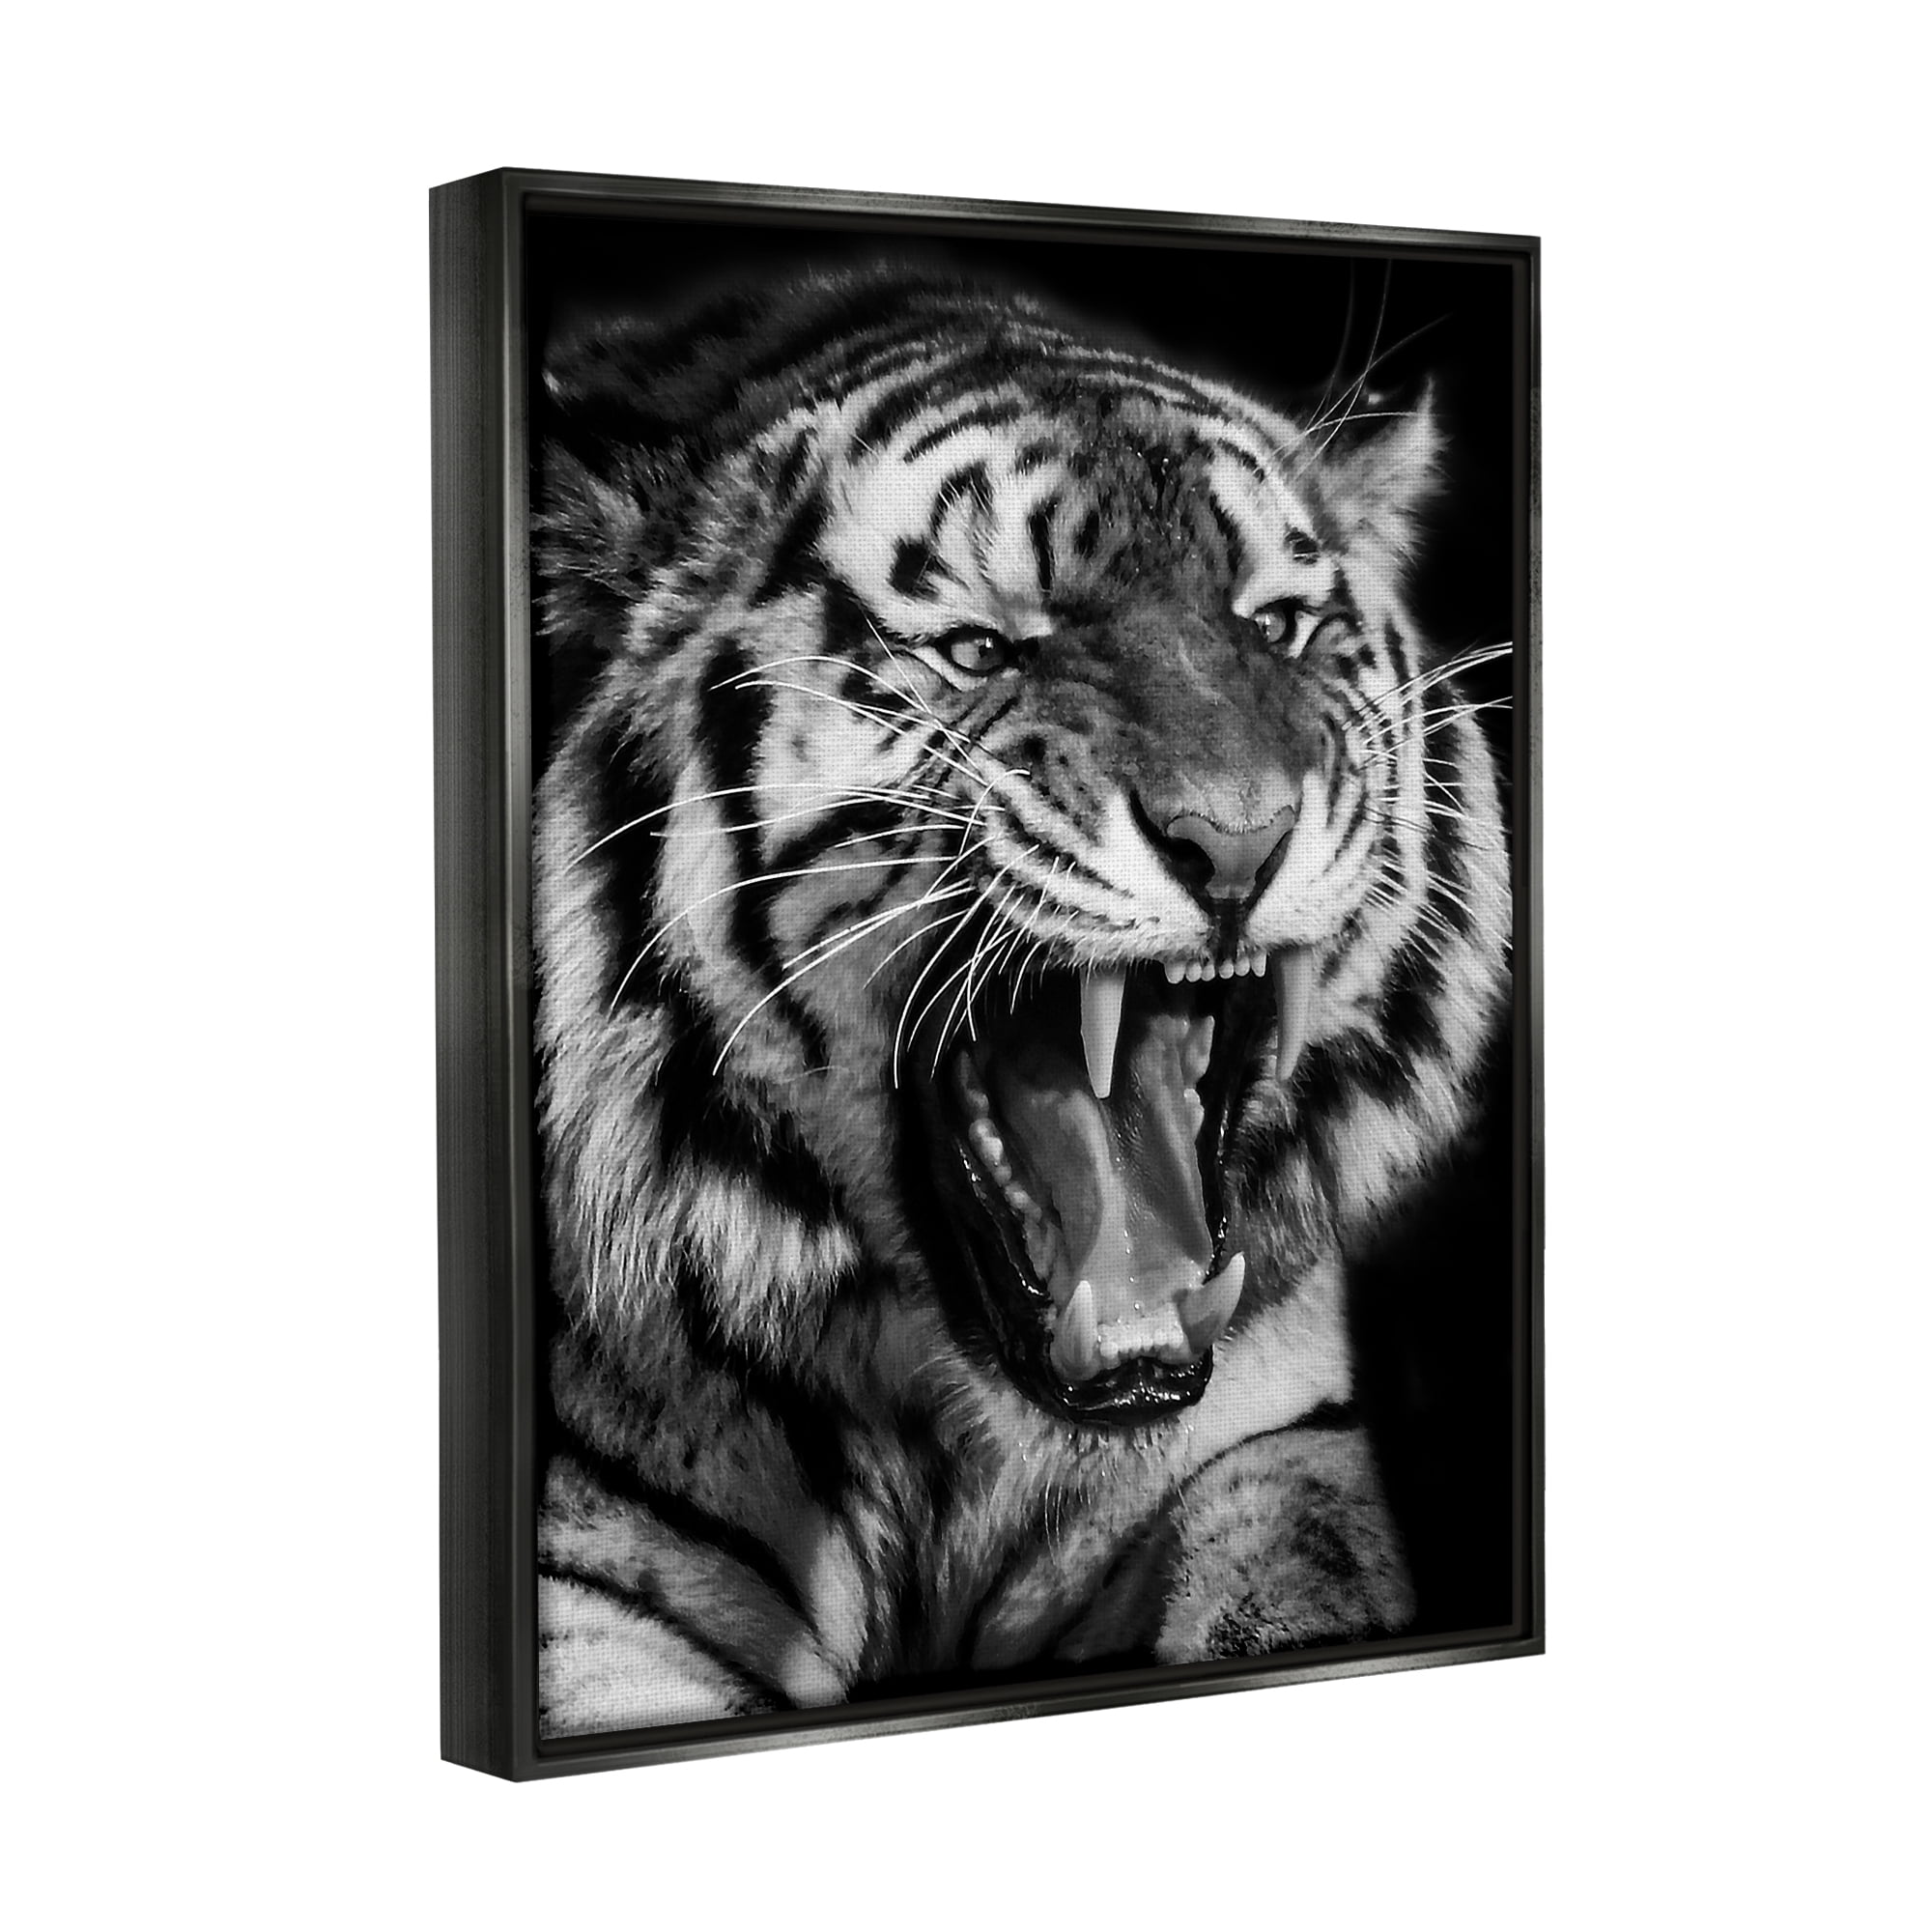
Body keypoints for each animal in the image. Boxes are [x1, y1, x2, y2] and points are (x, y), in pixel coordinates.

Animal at [531, 267, 1511, 1737]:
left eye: (1274, 626)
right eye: (981, 649)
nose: (1239, 841)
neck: (946, 1443)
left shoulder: (1268, 1445)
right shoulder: (589, 1578)